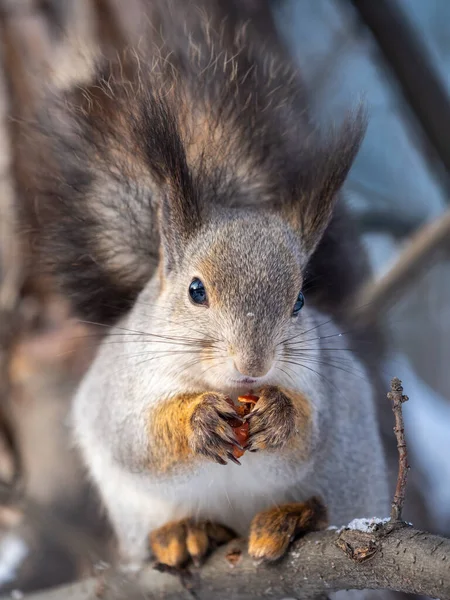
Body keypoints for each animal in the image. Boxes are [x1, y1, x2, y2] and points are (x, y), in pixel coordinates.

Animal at [25, 0, 390, 576]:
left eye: (299, 300)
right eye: (196, 290)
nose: (253, 366)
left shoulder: (325, 389)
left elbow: (309, 433)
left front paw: (280, 415)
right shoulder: (117, 394)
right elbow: (139, 439)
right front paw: (197, 420)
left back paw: (291, 517)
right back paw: (184, 533)